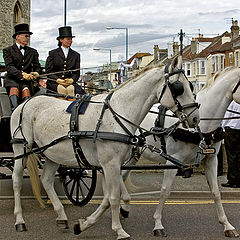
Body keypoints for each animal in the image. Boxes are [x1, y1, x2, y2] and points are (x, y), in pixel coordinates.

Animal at [10, 55, 199, 238]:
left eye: (190, 85)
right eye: (179, 87)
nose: (195, 117)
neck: (117, 113)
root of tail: (25, 102)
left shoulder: (113, 165)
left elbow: (109, 198)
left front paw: (84, 224)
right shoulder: (110, 164)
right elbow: (114, 197)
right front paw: (119, 230)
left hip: (52, 153)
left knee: (47, 180)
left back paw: (61, 216)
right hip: (21, 148)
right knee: (16, 180)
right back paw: (19, 220)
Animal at [125, 66, 240, 238]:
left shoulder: (211, 159)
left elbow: (216, 192)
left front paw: (226, 225)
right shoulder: (172, 160)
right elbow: (165, 191)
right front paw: (158, 224)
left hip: (135, 153)